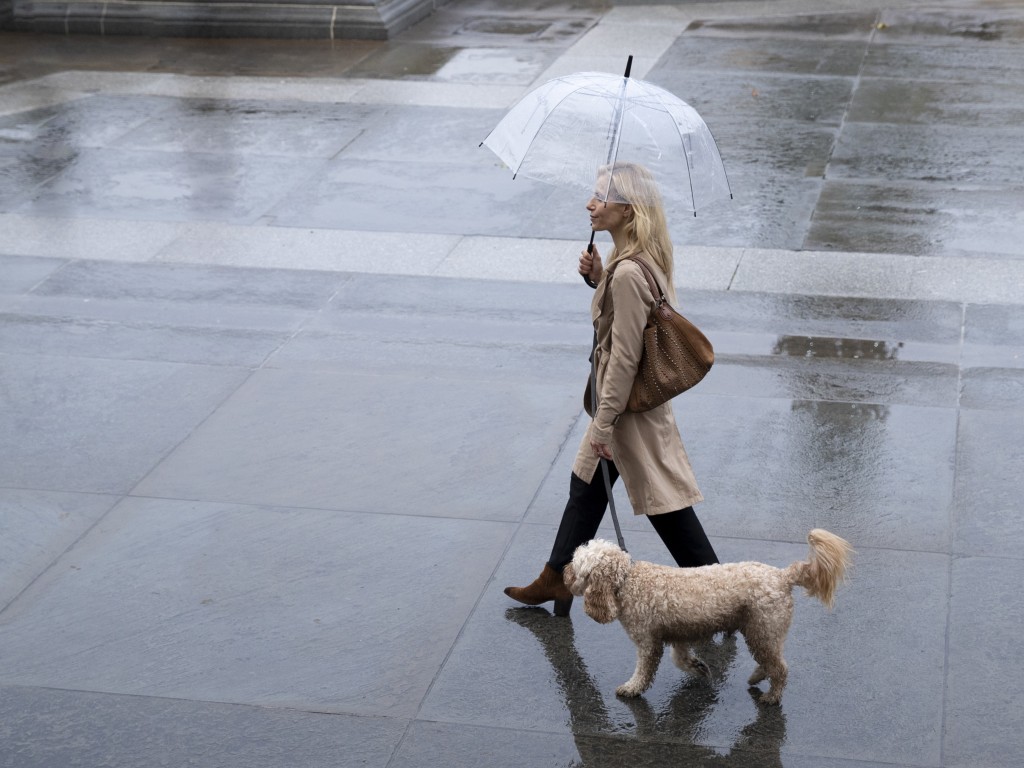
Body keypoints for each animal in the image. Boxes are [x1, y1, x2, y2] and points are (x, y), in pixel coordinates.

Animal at [565, 532, 851, 708]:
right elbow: (680, 659)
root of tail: (782, 576)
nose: (564, 573)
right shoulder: (678, 634)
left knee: (779, 668)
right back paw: (757, 677)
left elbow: (644, 671)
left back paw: (771, 696)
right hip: (761, 631)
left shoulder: (648, 642)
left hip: (763, 629)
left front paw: (631, 688)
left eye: (577, 565)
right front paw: (698, 667)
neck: (627, 581)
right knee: (771, 661)